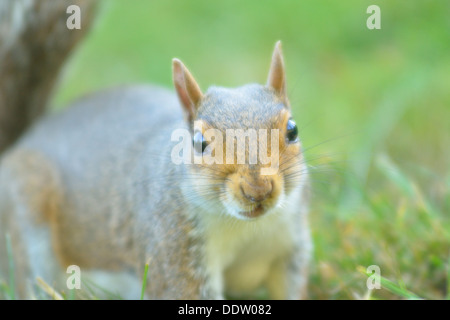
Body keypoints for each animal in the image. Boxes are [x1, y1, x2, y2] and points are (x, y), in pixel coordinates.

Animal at [0, 1, 312, 300]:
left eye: (293, 130)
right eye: (199, 142)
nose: (257, 190)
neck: (245, 226)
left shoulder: (291, 246)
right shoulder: (173, 246)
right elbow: (182, 289)